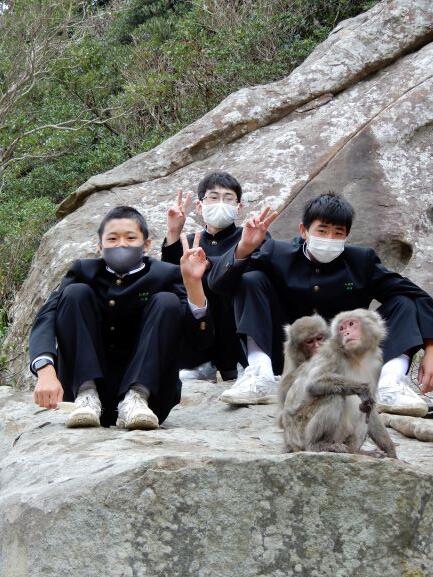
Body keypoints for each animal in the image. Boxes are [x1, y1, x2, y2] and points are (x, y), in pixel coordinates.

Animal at [281, 309, 397, 458]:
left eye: (351, 324)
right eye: (341, 328)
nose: (346, 333)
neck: (357, 356)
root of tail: (289, 440)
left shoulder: (377, 361)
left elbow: (372, 407)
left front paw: (390, 450)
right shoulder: (331, 352)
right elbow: (313, 383)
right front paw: (361, 389)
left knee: (364, 408)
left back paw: (356, 451)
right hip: (300, 431)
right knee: (334, 396)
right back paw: (317, 445)